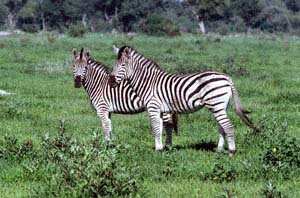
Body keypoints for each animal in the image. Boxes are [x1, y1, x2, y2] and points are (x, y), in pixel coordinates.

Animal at [109, 45, 254, 155]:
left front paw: (157, 150)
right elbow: (161, 129)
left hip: (216, 104)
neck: (148, 82)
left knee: (228, 126)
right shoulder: (160, 110)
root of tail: (226, 77)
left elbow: (155, 129)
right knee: (222, 127)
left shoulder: (153, 107)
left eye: (123, 65)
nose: (111, 82)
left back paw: (231, 152)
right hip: (220, 106)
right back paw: (219, 150)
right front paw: (162, 149)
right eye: (114, 65)